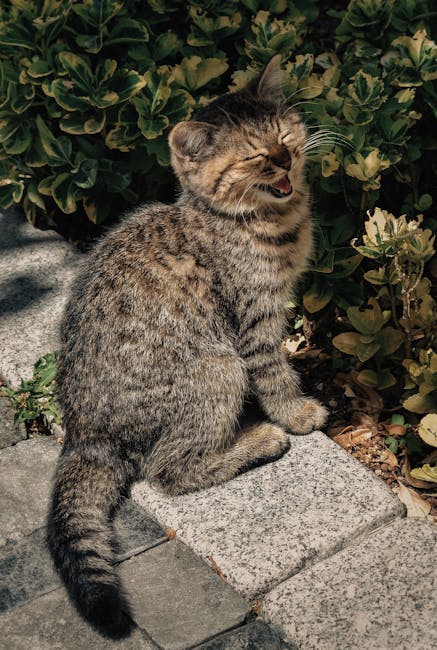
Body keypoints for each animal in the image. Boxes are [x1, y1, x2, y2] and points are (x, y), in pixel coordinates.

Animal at [47, 55, 328, 632]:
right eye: (255, 155)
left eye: (284, 135)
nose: (285, 158)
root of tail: (82, 433)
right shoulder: (255, 323)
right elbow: (275, 373)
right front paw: (295, 412)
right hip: (218, 368)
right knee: (168, 471)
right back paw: (259, 441)